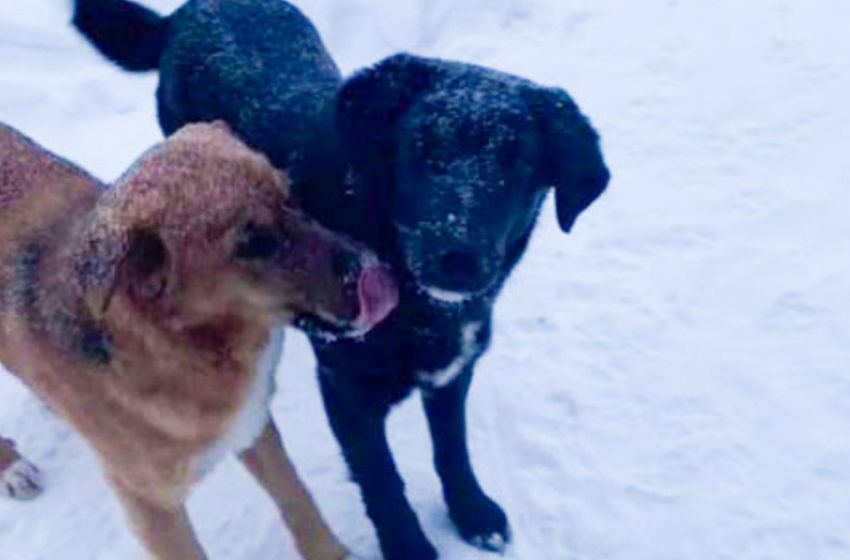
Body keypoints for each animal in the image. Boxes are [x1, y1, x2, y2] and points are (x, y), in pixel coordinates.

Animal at [0, 123, 398, 560]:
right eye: (252, 244)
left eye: (290, 195)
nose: (377, 273)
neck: (174, 347)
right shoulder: (150, 505)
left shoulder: (251, 425)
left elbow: (298, 500)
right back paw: (11, 466)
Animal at [71, 2, 604, 556]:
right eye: (420, 146)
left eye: (518, 161)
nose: (454, 255)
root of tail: (183, 13)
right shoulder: (347, 391)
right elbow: (382, 480)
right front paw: (408, 545)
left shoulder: (451, 371)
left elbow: (451, 449)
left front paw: (470, 509)